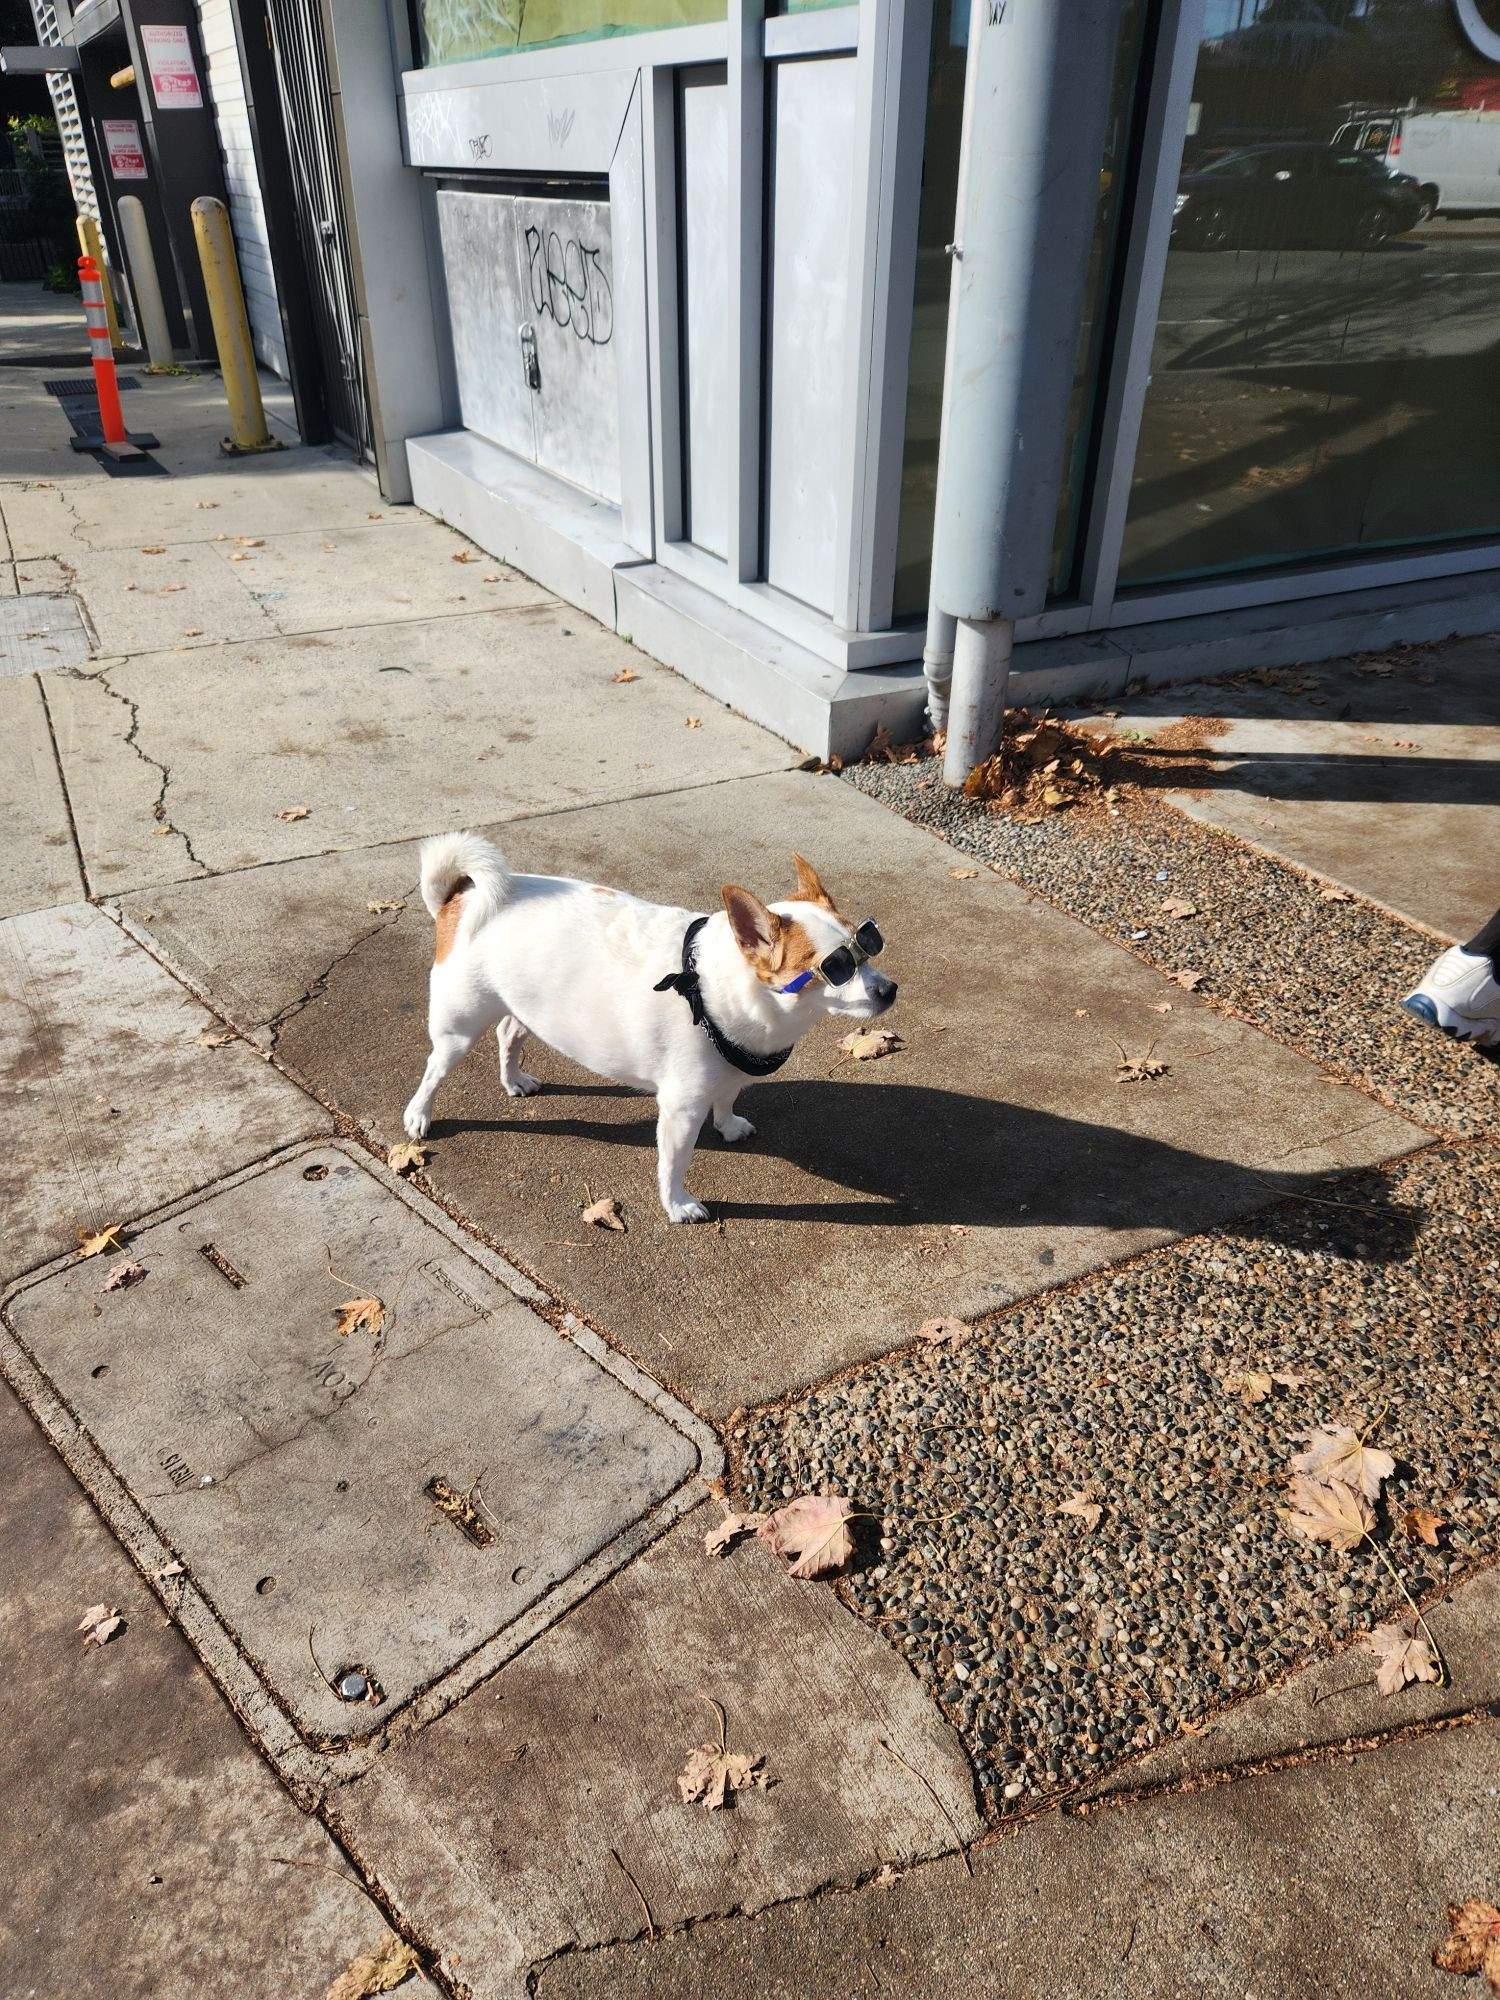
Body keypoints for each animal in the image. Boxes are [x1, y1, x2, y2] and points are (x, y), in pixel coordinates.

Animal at [400, 828, 900, 1216]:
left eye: (868, 946)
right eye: (836, 967)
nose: (889, 989)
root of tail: (459, 898)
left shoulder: (728, 1077)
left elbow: (727, 1098)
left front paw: (728, 1125)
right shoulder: (680, 1109)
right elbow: (675, 1162)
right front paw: (677, 1204)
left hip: (525, 1007)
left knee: (509, 1033)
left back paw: (513, 1080)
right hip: (457, 1028)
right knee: (434, 1070)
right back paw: (419, 1115)